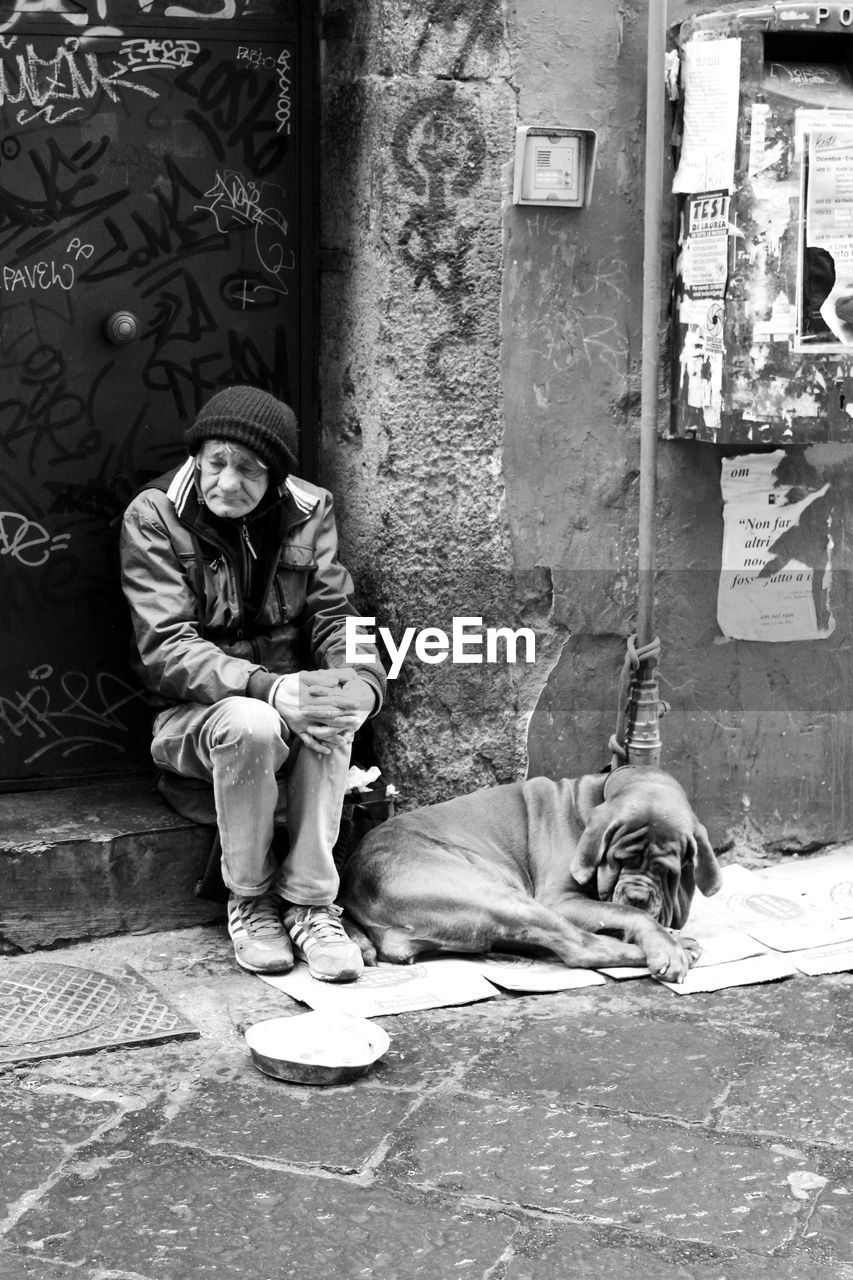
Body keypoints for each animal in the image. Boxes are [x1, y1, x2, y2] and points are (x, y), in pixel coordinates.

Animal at [338, 762, 717, 983]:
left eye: (665, 871)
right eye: (617, 861)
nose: (637, 895)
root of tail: (355, 889)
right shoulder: (560, 901)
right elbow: (624, 913)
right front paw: (664, 943)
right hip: (501, 896)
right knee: (582, 946)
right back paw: (676, 947)